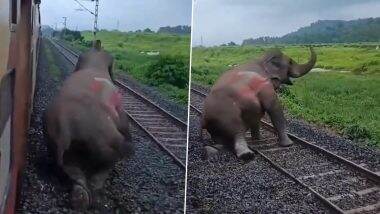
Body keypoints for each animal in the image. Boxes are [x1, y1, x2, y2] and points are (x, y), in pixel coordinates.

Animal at [45, 39, 134, 209]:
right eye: (112, 62)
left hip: (59, 142)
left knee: (75, 174)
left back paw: (79, 201)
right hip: (108, 144)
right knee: (98, 176)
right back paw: (96, 201)